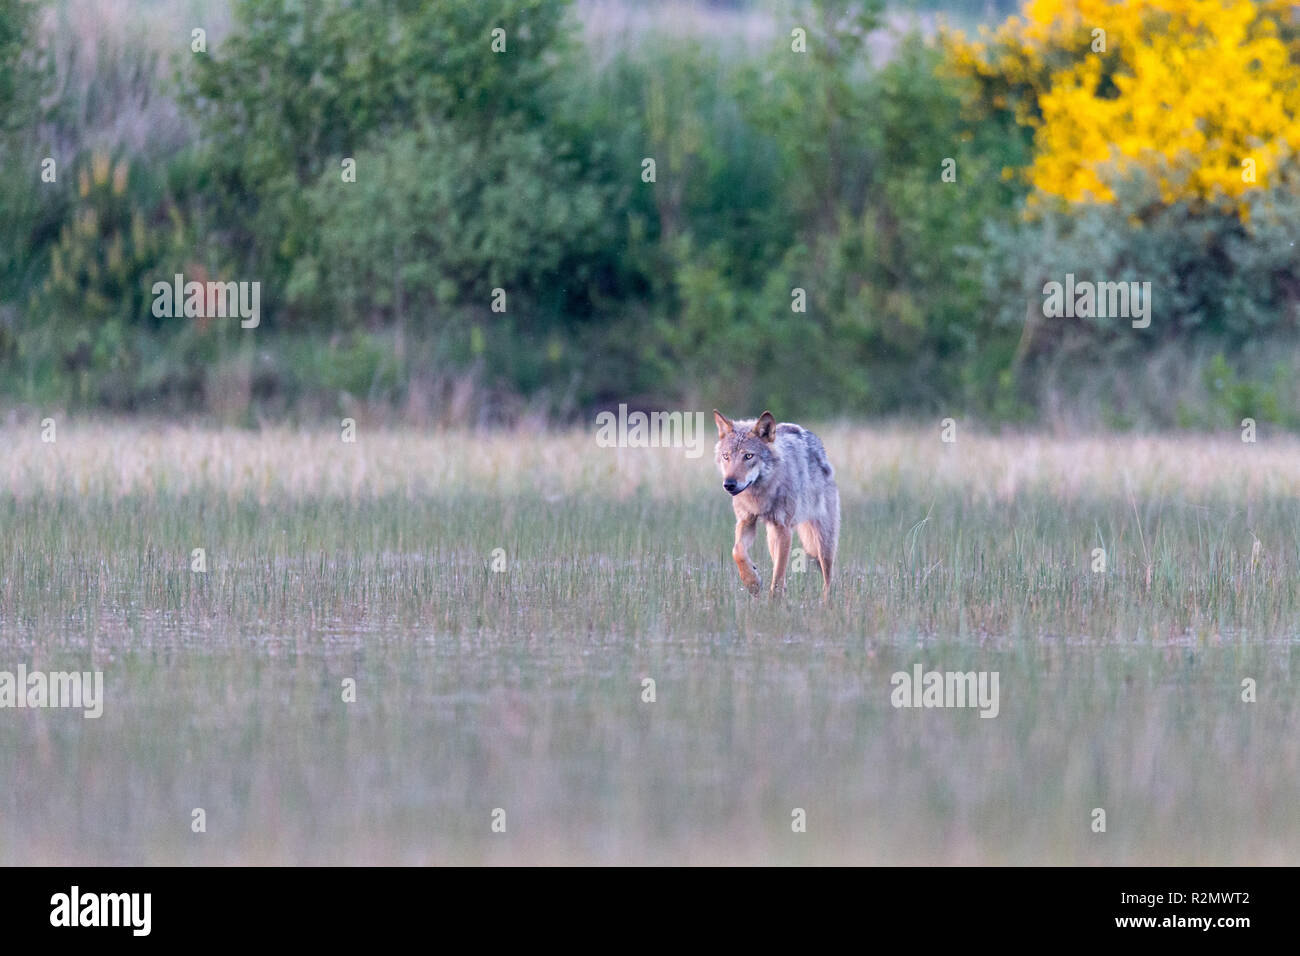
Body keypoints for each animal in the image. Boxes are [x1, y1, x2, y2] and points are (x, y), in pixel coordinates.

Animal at [717, 408, 837, 598]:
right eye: (726, 456)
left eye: (748, 456)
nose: (729, 484)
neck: (759, 495)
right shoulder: (746, 521)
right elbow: (737, 551)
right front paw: (752, 582)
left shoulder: (784, 529)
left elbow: (779, 573)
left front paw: (774, 601)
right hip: (772, 537)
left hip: (823, 543)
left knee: (828, 579)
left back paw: (825, 602)